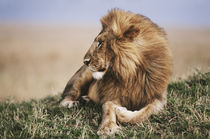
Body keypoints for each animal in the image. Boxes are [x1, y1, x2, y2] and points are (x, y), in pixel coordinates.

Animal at [60, 8, 171, 136]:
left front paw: (121, 112)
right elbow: (108, 108)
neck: (130, 74)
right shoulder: (112, 95)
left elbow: (145, 112)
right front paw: (107, 128)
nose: (85, 61)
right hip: (82, 77)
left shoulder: (158, 97)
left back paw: (86, 100)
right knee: (66, 97)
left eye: (100, 43)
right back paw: (71, 103)